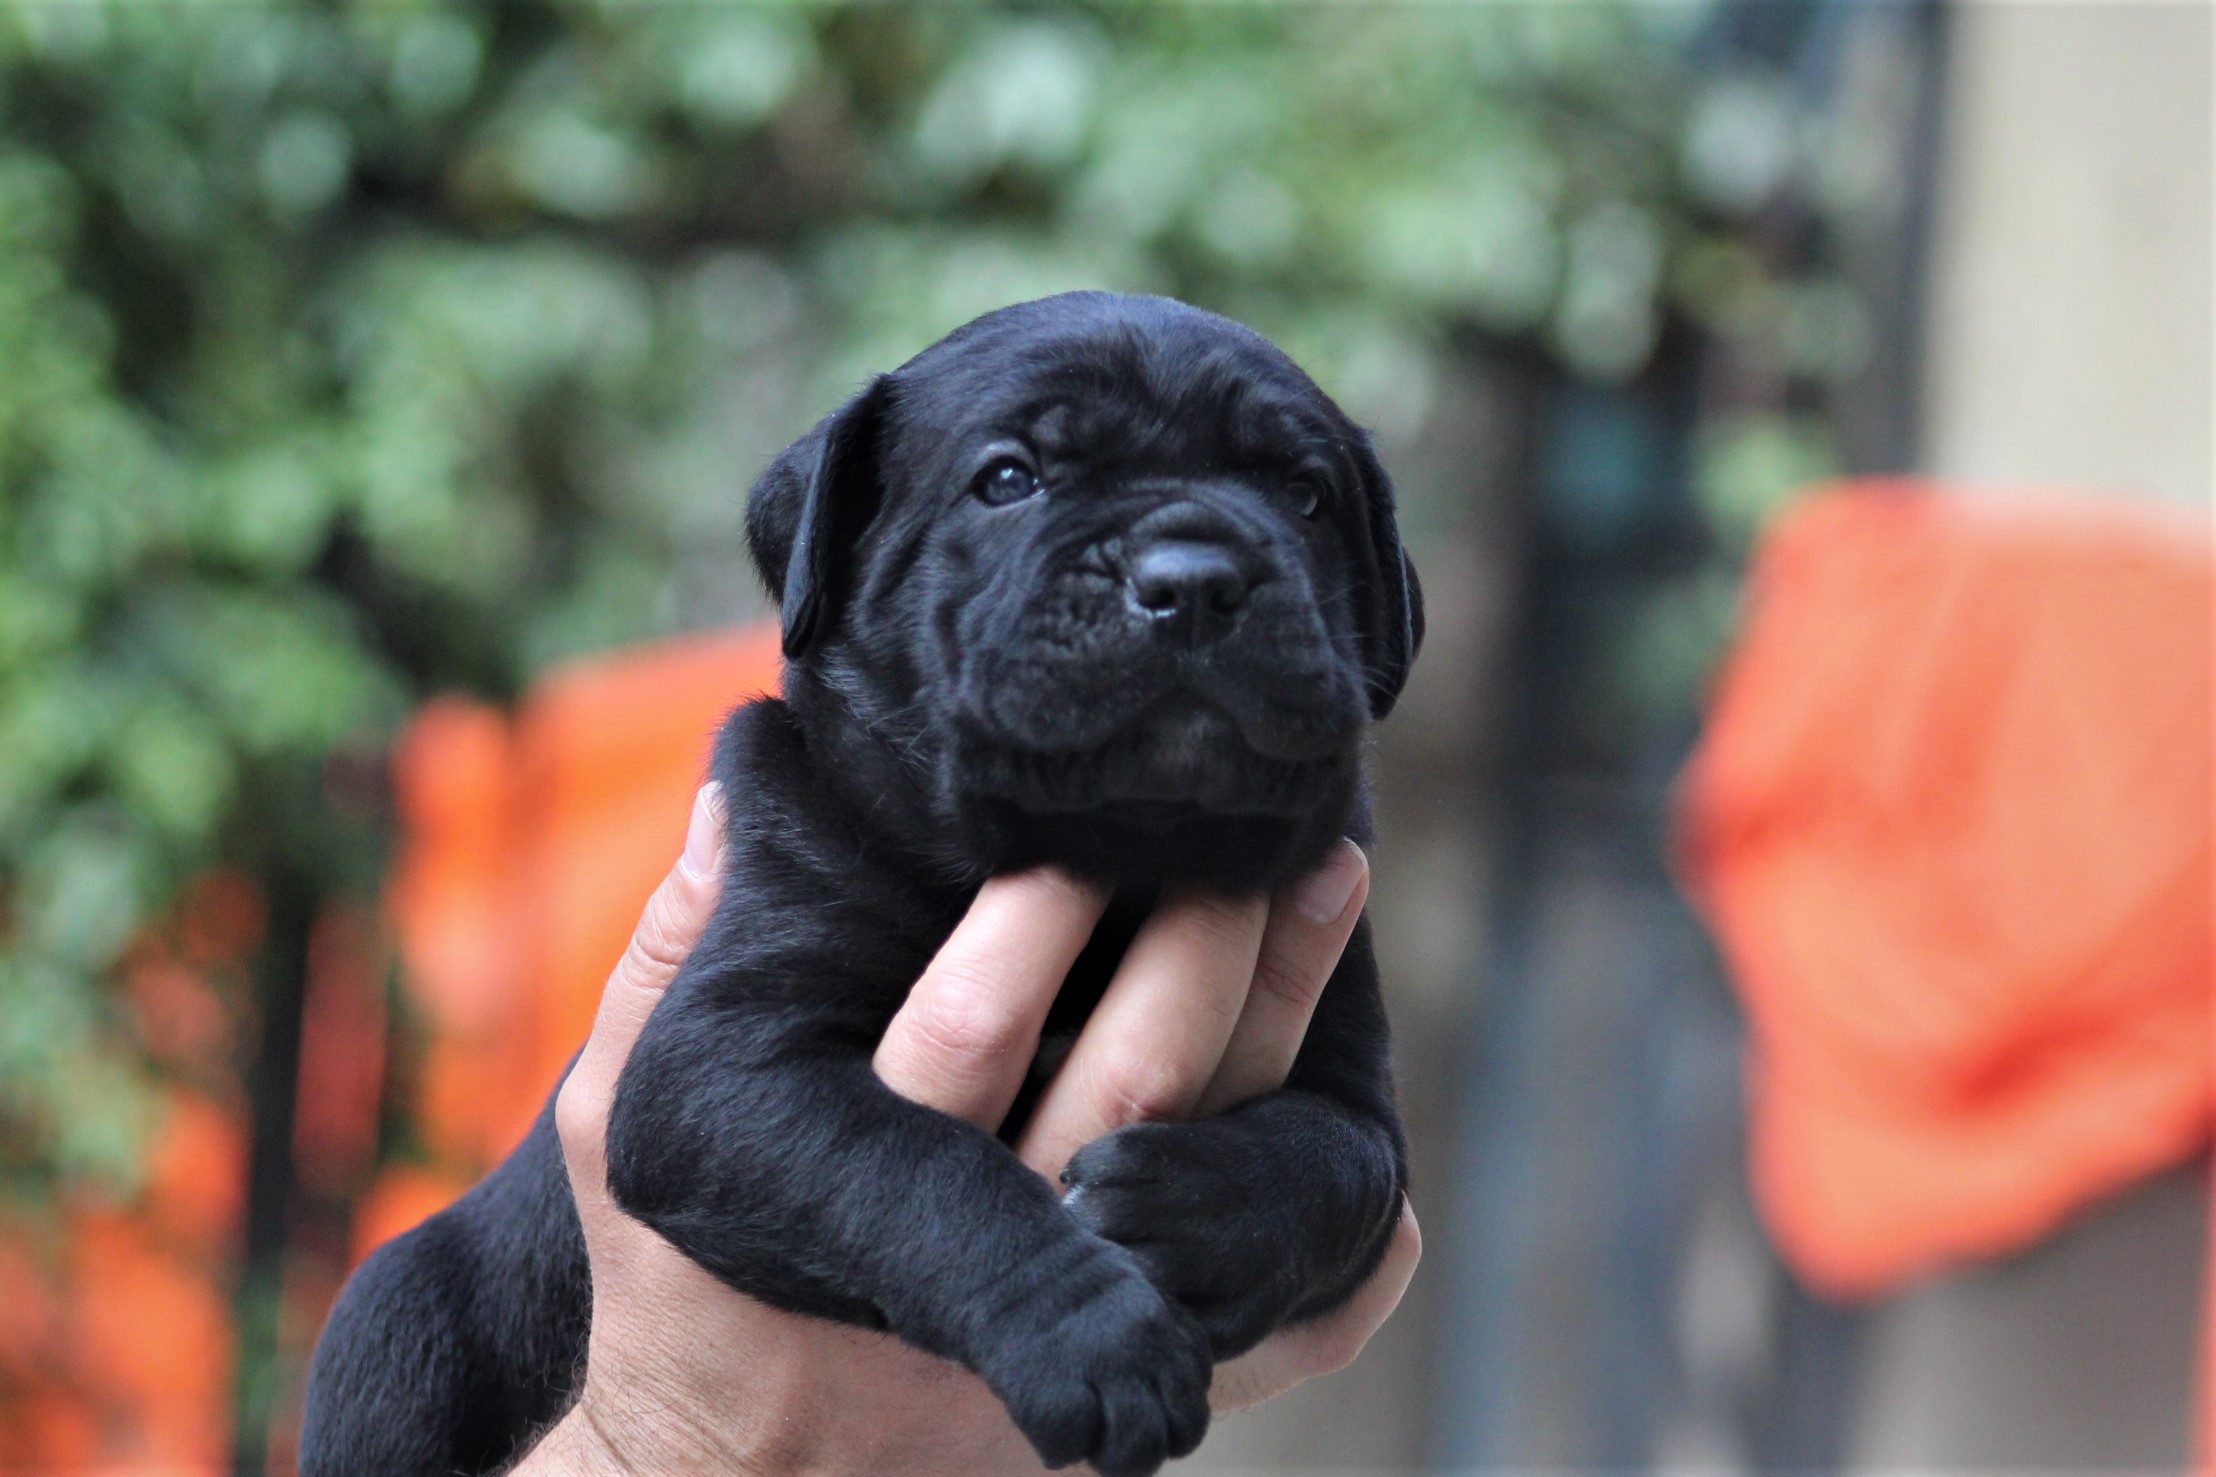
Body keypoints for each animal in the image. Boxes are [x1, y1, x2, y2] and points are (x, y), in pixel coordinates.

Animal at [299, 292, 1418, 1477]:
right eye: (1009, 479)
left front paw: (1187, 1208)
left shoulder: (1345, 1050)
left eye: (1305, 496)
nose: (1193, 578)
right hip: (394, 1323)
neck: (1118, 866)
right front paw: (1091, 1334)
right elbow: (912, 1166)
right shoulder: (722, 1068)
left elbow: (1337, 1166)